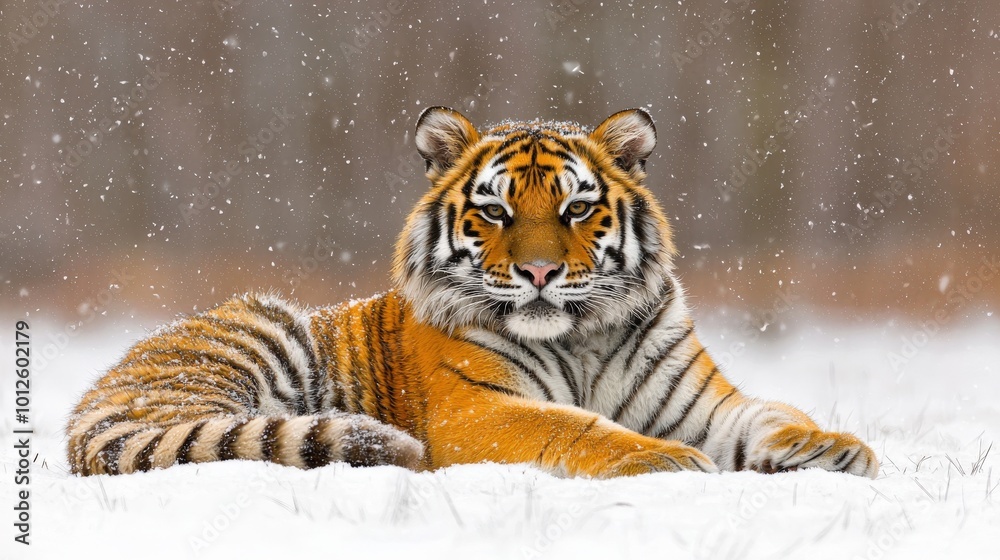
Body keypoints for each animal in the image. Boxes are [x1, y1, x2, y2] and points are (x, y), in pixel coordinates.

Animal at [67, 107, 879, 479]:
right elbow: (580, 428)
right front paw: (667, 463)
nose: (540, 273)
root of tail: (93, 396)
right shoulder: (479, 410)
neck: (582, 335)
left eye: (576, 208)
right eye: (495, 211)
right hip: (266, 333)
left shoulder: (701, 404)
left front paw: (841, 450)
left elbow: (775, 414)